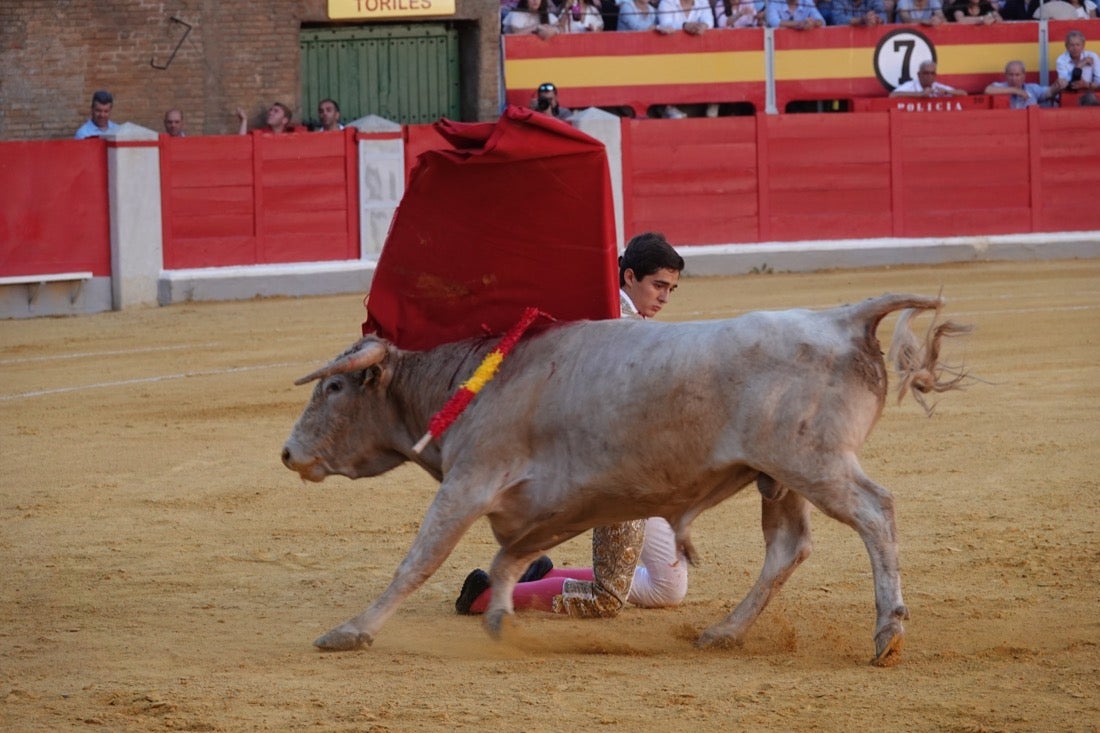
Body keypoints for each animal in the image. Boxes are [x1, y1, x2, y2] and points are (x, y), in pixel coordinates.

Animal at [279, 290, 968, 660]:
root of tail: (843, 317)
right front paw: (500, 618)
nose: (287, 453)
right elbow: (507, 557)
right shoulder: (551, 506)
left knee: (876, 513)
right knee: (788, 547)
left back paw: (887, 633)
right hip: (779, 478)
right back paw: (723, 631)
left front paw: (350, 631)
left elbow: (419, 561)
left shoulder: (469, 482)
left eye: (335, 387)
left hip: (815, 464)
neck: (473, 380)